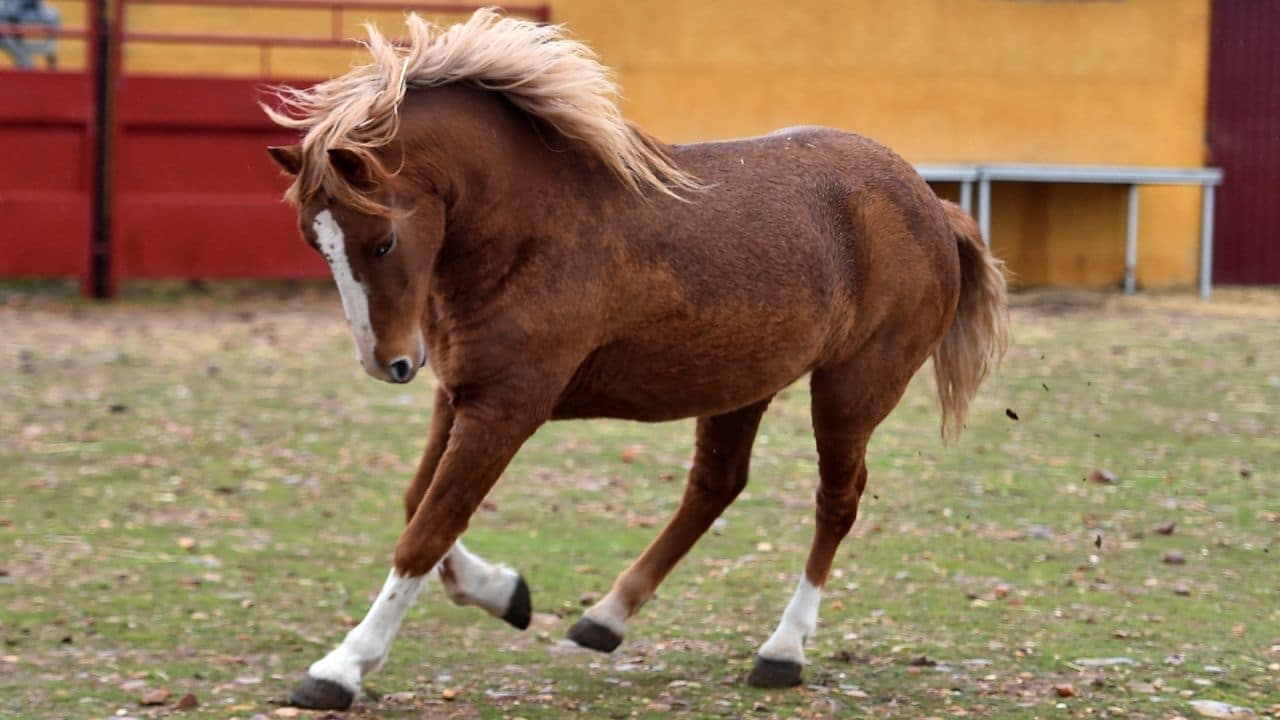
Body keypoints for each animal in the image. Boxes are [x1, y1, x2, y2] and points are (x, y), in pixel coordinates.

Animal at [267, 8, 1008, 707]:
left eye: (383, 240)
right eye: (312, 240)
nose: (387, 363)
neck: (534, 227)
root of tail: (933, 204)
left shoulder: (506, 405)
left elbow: (428, 528)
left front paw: (340, 669)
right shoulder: (460, 392)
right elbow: (417, 503)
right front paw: (505, 592)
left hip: (851, 388)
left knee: (836, 502)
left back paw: (782, 651)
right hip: (742, 385)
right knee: (715, 485)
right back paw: (607, 617)